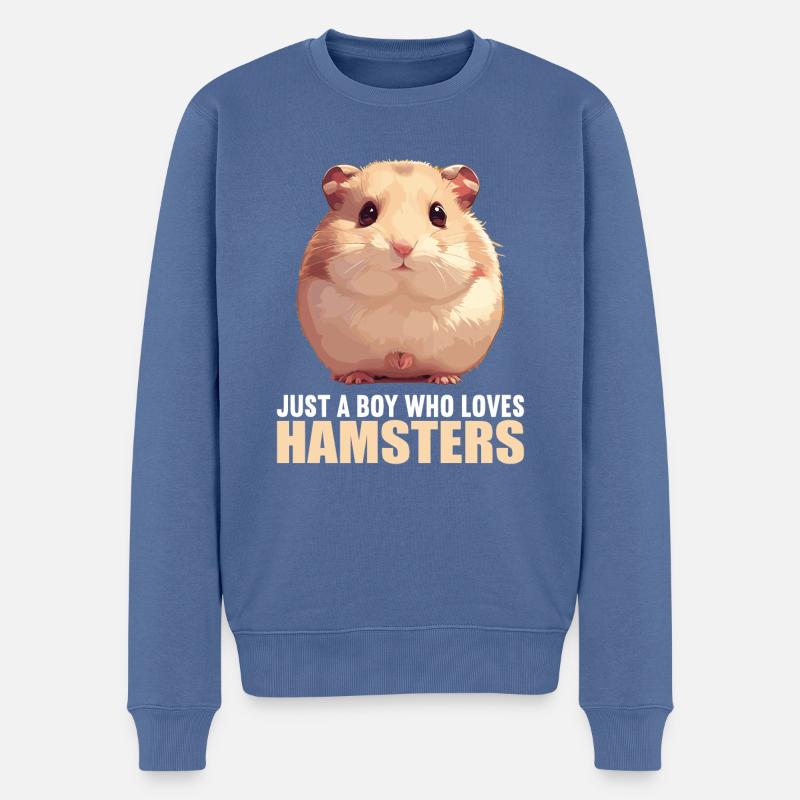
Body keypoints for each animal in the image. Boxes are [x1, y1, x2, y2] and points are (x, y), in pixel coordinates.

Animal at [297, 160, 503, 384]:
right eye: (366, 213)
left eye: (439, 214)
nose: (403, 248)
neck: (402, 297)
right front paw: (385, 366)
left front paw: (409, 364)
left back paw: (443, 378)